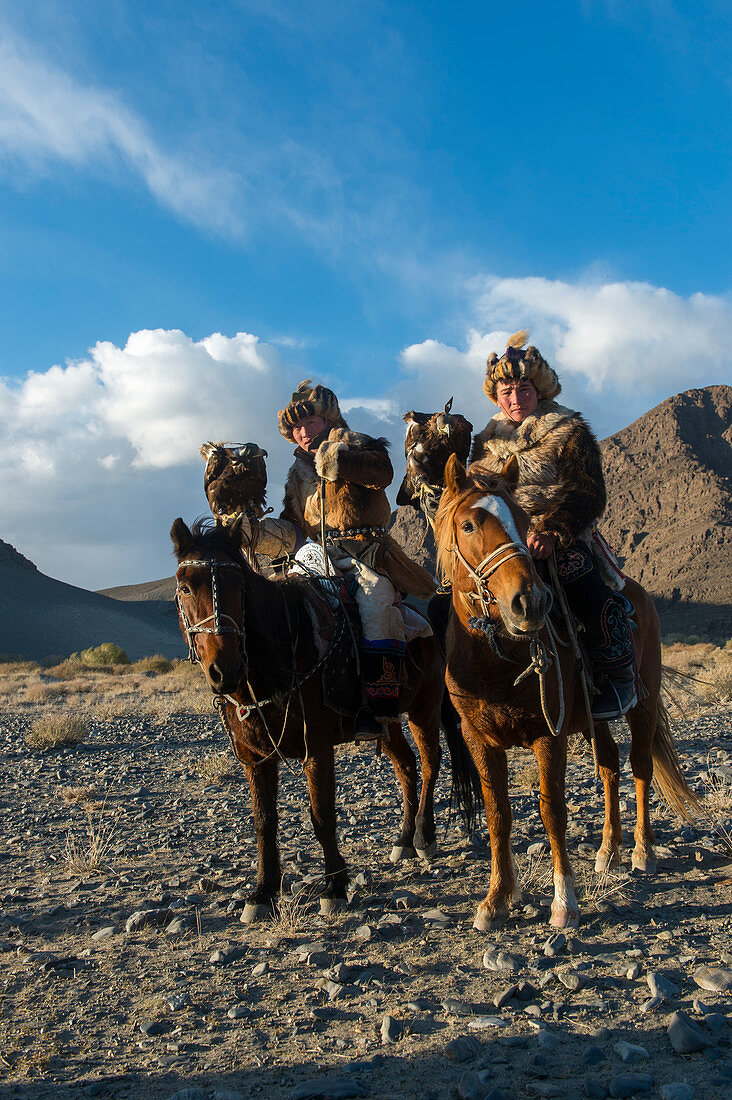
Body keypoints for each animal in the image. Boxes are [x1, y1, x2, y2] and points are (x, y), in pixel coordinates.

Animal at [171, 514, 479, 919]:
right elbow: (264, 822)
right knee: (407, 767)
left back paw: (424, 836)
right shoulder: (256, 757)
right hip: (386, 720)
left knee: (430, 762)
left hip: (423, 708)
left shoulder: (315, 747)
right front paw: (263, 892)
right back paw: (403, 839)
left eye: (240, 586)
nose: (226, 670)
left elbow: (322, 816)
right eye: (185, 587)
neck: (283, 648)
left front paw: (334, 887)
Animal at [433, 453, 695, 928]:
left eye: (524, 521)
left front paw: (563, 901)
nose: (531, 603)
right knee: (609, 765)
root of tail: (637, 592)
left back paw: (642, 850)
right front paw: (496, 899)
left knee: (640, 766)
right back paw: (608, 850)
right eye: (468, 524)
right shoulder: (478, 738)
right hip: (596, 718)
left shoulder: (548, 734)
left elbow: (552, 810)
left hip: (643, 703)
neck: (497, 661)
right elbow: (498, 812)